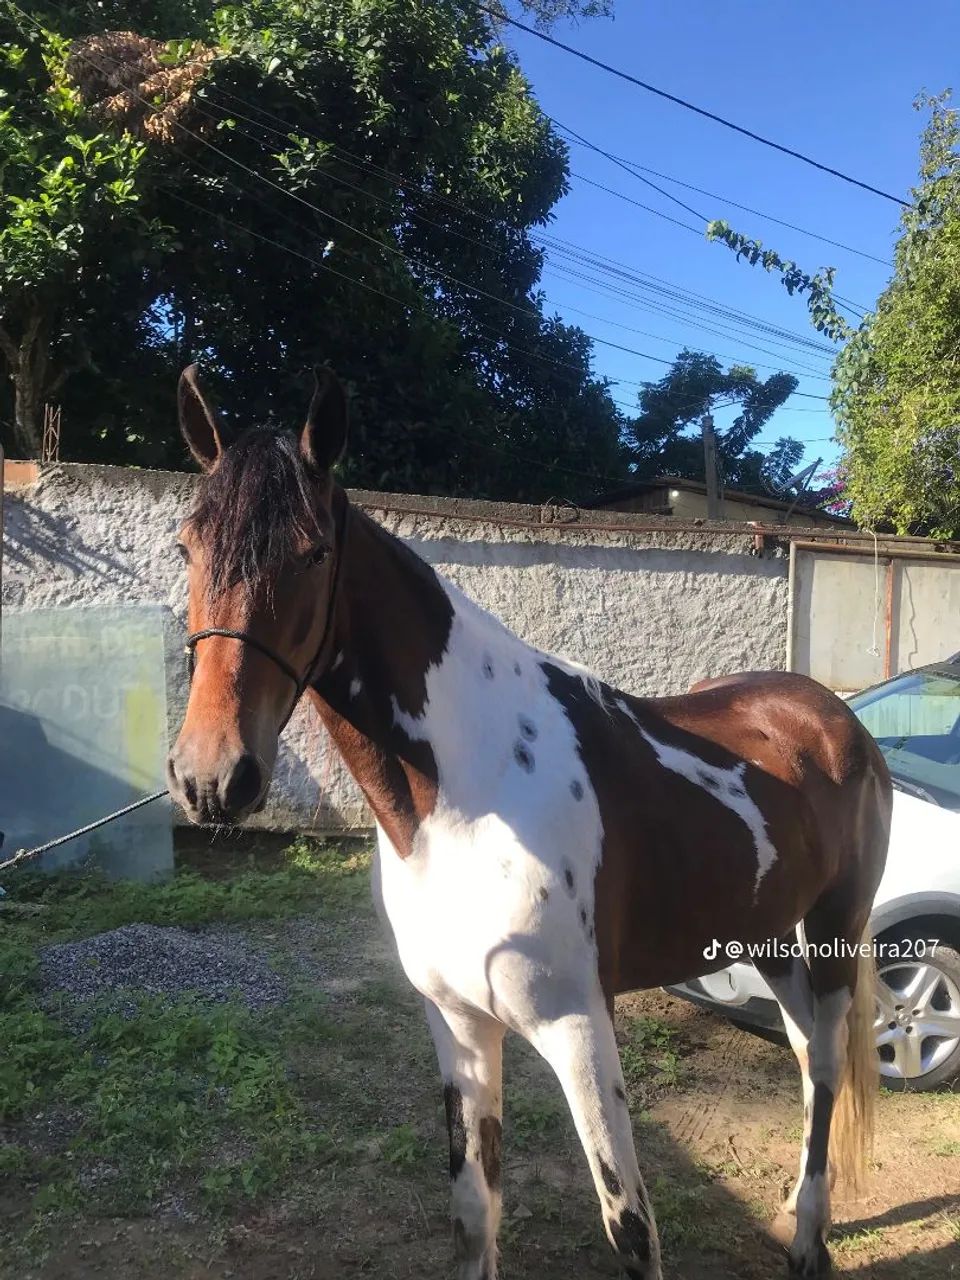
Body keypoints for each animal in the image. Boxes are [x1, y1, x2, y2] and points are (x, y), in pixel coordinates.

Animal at [167, 365, 892, 1280]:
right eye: (185, 548)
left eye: (313, 554)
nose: (210, 776)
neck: (468, 799)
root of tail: (833, 716)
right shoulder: (460, 1025)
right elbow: (475, 1214)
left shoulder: (579, 1028)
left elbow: (631, 1229)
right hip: (762, 934)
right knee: (801, 1056)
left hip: (833, 931)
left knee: (825, 1063)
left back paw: (807, 1240)